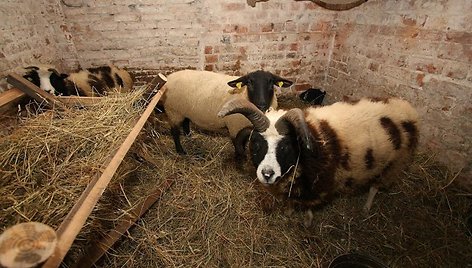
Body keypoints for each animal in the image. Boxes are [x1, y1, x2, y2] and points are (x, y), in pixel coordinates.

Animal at [160, 69, 294, 157]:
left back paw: (188, 136)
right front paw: (240, 158)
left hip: (184, 109)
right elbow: (238, 145)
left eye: (271, 83)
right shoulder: (235, 126)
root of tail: (169, 77)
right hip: (173, 111)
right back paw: (180, 151)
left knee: (186, 122)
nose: (261, 105)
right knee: (175, 132)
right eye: (249, 83)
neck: (244, 94)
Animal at [218, 97, 420, 225]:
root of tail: (406, 106)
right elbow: (291, 200)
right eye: (257, 144)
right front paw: (288, 212)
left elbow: (310, 206)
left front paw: (307, 221)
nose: (267, 174)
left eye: (285, 147)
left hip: (393, 164)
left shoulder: (320, 185)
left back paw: (366, 207)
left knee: (375, 187)